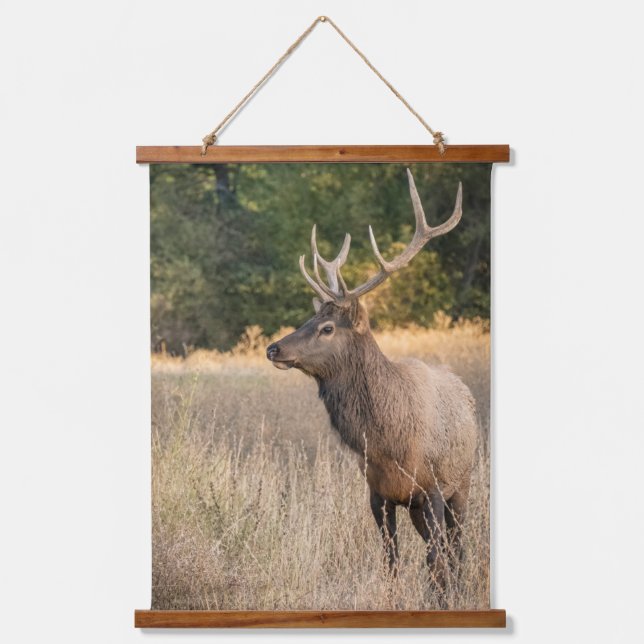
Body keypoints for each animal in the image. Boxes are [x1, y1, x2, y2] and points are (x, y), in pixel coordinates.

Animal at [266, 169, 478, 588]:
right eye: (310, 318)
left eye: (327, 328)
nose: (274, 348)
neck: (387, 441)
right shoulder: (378, 493)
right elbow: (391, 562)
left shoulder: (431, 487)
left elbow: (436, 562)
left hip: (462, 484)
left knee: (456, 552)